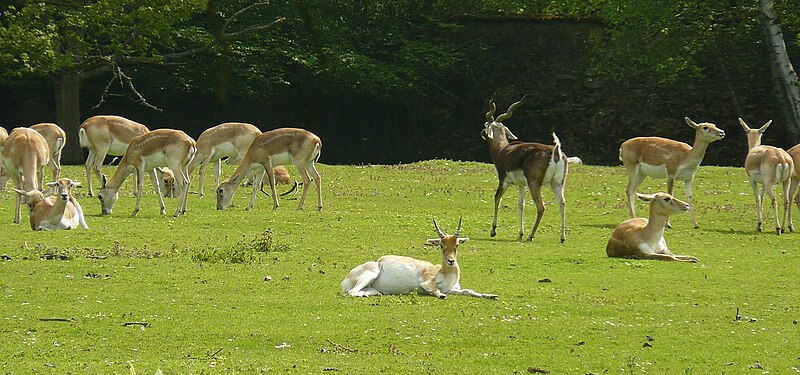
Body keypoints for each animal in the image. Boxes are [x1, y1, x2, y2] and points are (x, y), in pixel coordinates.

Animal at [340, 219, 496, 302]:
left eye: (456, 245)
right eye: (441, 245)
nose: (451, 261)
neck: (445, 273)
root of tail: (346, 278)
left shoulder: (453, 289)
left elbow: (468, 291)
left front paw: (491, 295)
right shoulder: (426, 283)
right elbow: (435, 290)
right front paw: (441, 295)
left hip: (373, 287)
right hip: (371, 274)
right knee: (351, 292)